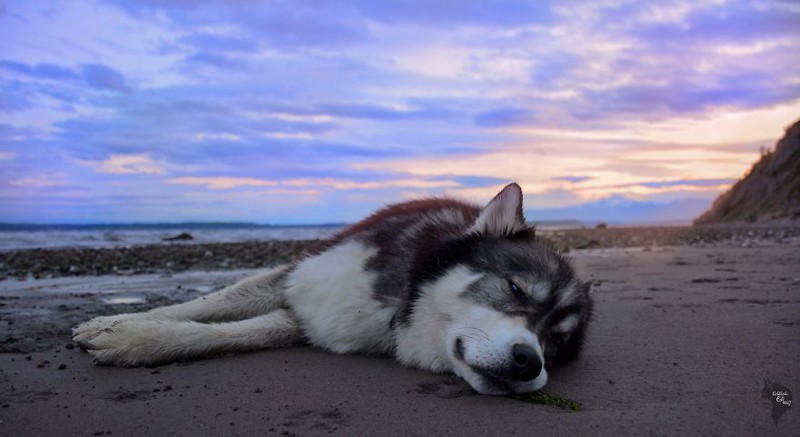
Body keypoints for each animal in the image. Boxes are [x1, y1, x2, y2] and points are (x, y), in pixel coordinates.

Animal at [73, 182, 588, 394]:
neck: (401, 300)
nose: (529, 362)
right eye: (515, 289)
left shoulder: (306, 322)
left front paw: (134, 340)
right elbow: (206, 304)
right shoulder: (301, 279)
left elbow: (222, 333)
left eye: (556, 343)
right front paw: (118, 323)